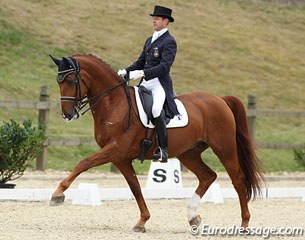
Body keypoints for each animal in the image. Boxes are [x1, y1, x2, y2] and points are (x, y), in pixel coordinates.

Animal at [49, 54, 262, 232]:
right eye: (58, 82)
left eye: (70, 80)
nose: (67, 114)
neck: (115, 104)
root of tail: (220, 99)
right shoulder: (120, 158)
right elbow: (134, 187)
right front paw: (142, 221)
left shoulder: (115, 150)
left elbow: (83, 163)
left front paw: (57, 194)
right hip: (189, 153)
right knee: (207, 176)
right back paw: (193, 217)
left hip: (224, 148)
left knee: (238, 179)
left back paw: (244, 223)